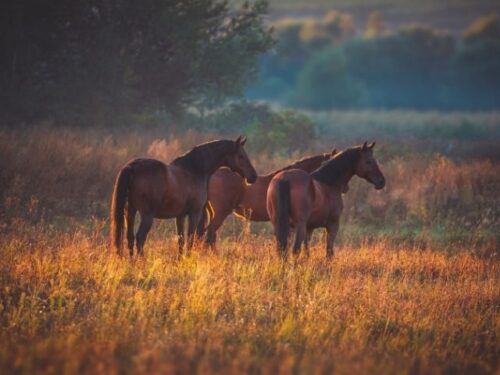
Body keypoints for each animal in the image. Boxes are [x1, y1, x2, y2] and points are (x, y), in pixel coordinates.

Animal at [110, 137, 258, 258]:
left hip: (130, 212)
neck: (195, 170)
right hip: (147, 215)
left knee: (130, 237)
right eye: (241, 156)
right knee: (140, 238)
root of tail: (133, 167)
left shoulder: (180, 216)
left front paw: (180, 261)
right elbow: (190, 239)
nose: (253, 176)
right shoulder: (194, 213)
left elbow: (180, 240)